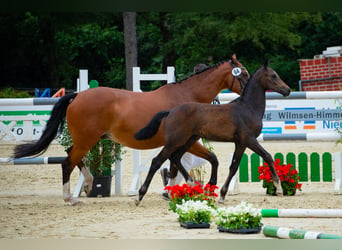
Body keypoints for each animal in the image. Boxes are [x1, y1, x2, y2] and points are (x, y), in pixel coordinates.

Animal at [12, 53, 248, 204]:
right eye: (243, 74)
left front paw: (173, 193)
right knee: (67, 162)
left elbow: (174, 166)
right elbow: (208, 160)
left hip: (87, 140)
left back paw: (88, 184)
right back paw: (70, 197)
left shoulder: (179, 144)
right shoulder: (186, 142)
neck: (187, 97)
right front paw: (193, 185)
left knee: (72, 156)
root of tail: (77, 95)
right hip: (86, 140)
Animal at [135, 60, 290, 205]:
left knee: (176, 157)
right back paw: (140, 195)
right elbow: (267, 157)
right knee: (157, 161)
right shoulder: (249, 140)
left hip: (190, 139)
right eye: (273, 76)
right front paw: (279, 188)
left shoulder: (240, 143)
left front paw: (222, 195)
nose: (287, 90)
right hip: (175, 141)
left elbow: (234, 167)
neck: (248, 108)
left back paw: (191, 182)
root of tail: (170, 111)